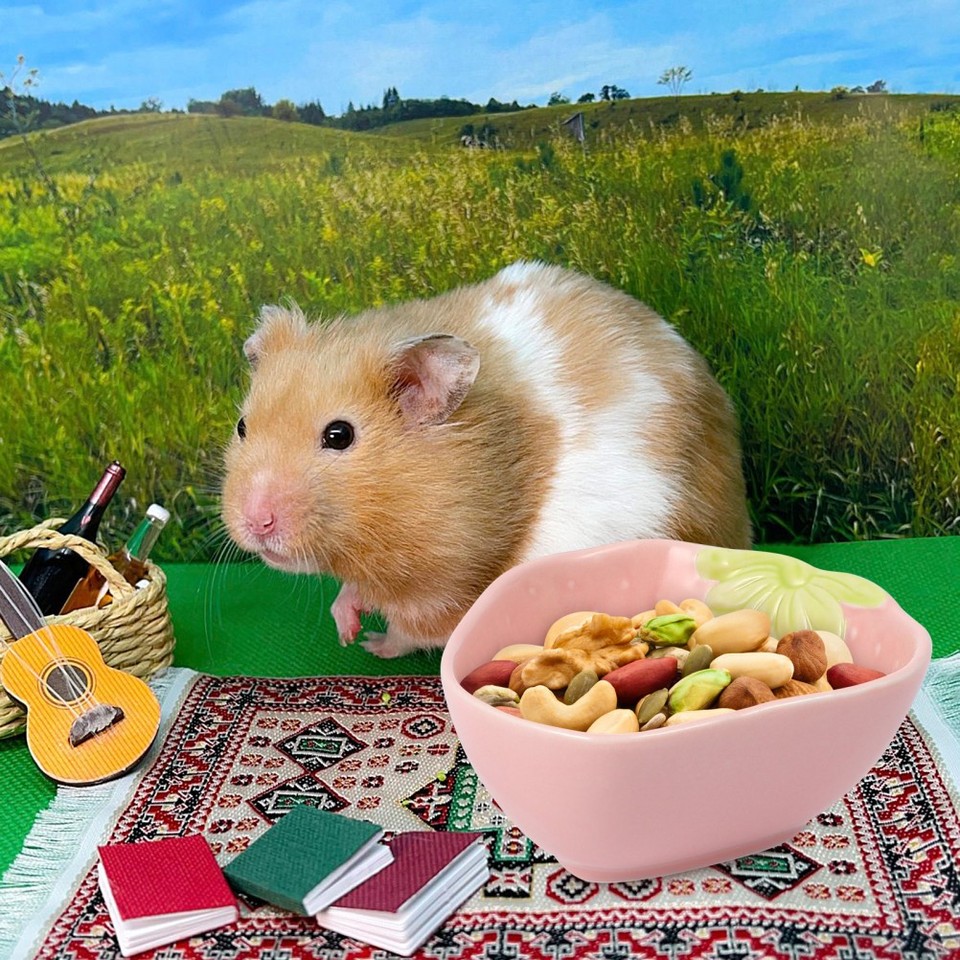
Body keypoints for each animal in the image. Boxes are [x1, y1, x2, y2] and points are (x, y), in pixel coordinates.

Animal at [221, 261, 751, 658]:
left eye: (339, 435)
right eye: (242, 426)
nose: (256, 523)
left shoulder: (445, 594)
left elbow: (409, 630)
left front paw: (369, 642)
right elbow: (353, 592)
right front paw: (346, 627)